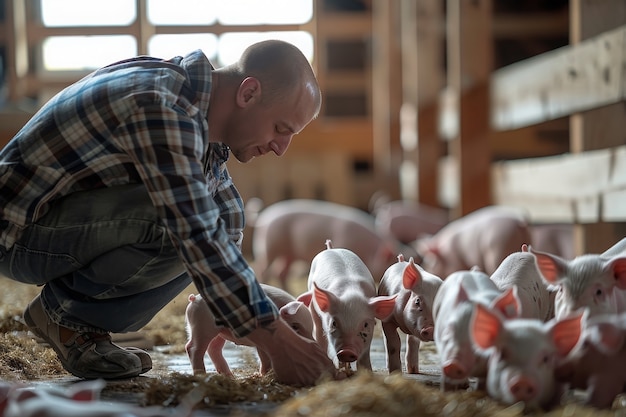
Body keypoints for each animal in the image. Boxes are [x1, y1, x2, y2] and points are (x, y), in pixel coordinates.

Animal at [184, 282, 312, 374]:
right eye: (294, 326)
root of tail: (194, 299)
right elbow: (264, 358)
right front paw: (265, 375)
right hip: (201, 327)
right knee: (193, 348)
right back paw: (201, 375)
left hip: (219, 332)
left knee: (213, 348)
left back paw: (230, 377)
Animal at [249, 198, 414, 290]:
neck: (371, 251)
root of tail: (262, 218)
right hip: (268, 247)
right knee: (262, 268)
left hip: (289, 253)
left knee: (281, 273)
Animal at [296, 240, 394, 370]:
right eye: (334, 323)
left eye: (366, 324)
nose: (347, 351)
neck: (351, 292)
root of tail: (331, 248)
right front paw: (341, 368)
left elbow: (365, 354)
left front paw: (367, 371)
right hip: (313, 303)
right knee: (318, 330)